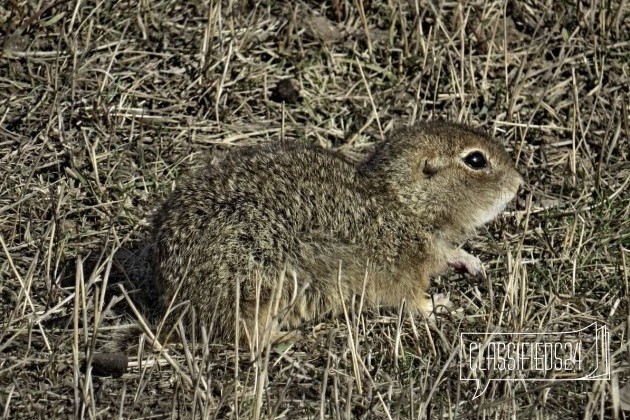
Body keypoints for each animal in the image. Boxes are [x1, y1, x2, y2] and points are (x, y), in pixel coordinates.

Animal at [153, 120, 524, 344]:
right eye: (475, 160)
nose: (519, 184)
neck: (404, 205)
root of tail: (171, 288)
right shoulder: (400, 273)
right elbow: (414, 302)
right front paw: (443, 304)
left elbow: (450, 254)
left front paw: (472, 263)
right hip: (255, 284)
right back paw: (284, 338)